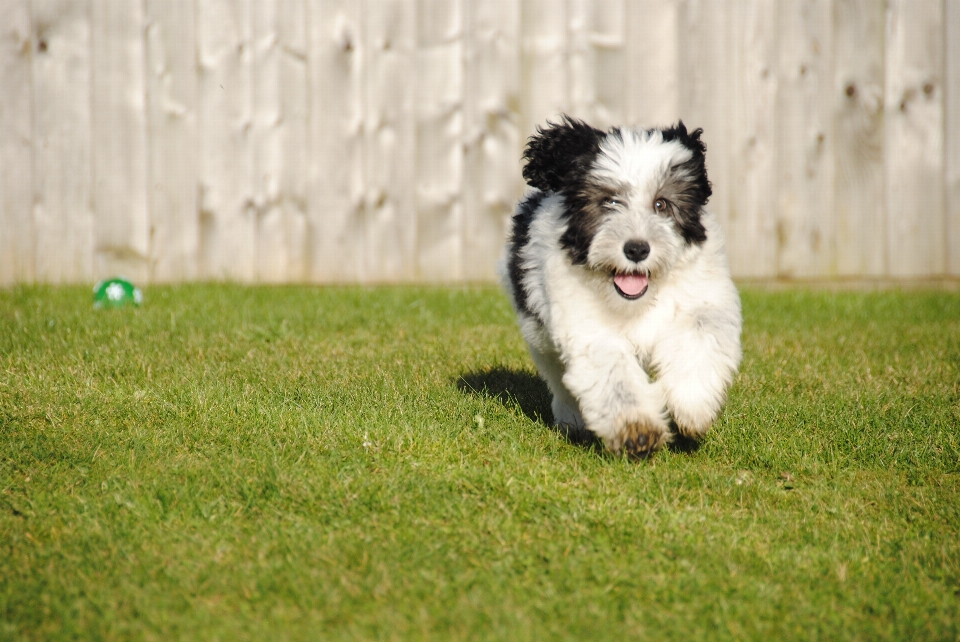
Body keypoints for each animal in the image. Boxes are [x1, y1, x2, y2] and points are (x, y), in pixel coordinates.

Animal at [498, 115, 748, 456]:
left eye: (662, 204)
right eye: (609, 202)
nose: (637, 249)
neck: (638, 301)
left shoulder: (705, 298)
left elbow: (699, 337)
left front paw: (692, 404)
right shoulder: (587, 325)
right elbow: (613, 373)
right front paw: (636, 428)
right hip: (539, 336)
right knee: (559, 378)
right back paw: (572, 419)